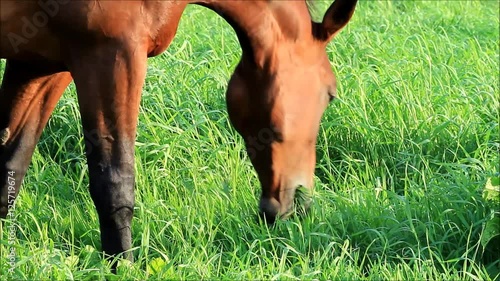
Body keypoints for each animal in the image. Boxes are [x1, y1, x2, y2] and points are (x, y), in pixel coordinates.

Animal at [1, 0, 358, 262]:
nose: (300, 205)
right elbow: (114, 182)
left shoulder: (40, 62)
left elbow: (11, 168)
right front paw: (122, 265)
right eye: (330, 94)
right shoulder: (110, 54)